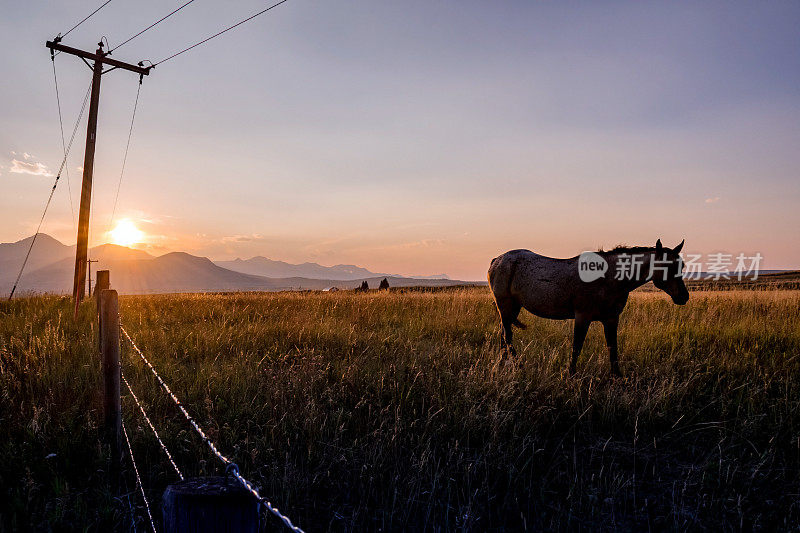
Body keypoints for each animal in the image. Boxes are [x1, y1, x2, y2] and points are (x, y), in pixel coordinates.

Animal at [488, 239, 688, 376]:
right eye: (667, 266)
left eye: (682, 265)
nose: (684, 297)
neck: (609, 278)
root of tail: (497, 260)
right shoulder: (582, 317)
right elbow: (577, 346)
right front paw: (570, 374)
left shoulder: (611, 319)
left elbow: (612, 348)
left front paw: (617, 377)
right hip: (504, 305)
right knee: (507, 336)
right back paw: (519, 365)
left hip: (513, 307)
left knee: (503, 335)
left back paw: (502, 366)